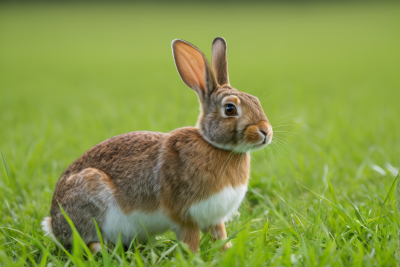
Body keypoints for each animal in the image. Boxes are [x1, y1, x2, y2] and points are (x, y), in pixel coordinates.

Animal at [42, 36, 274, 254]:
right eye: (230, 109)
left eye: (256, 100)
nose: (266, 131)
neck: (214, 145)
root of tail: (53, 223)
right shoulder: (184, 216)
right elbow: (191, 240)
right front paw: (194, 257)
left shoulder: (214, 219)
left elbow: (221, 237)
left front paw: (228, 251)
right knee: (85, 242)